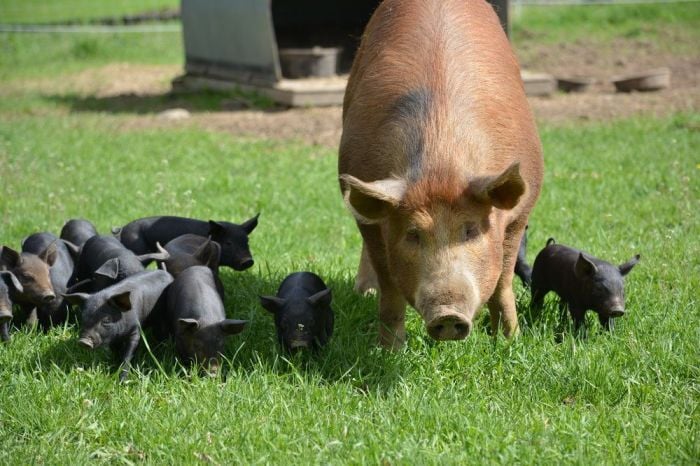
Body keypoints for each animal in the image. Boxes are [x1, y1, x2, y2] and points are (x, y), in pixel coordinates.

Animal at [336, 0, 544, 346]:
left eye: (471, 230)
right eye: (413, 234)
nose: (447, 315)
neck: (441, 164)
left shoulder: (519, 213)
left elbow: (503, 280)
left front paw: (509, 341)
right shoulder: (370, 222)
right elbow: (390, 291)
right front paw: (390, 350)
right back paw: (363, 293)